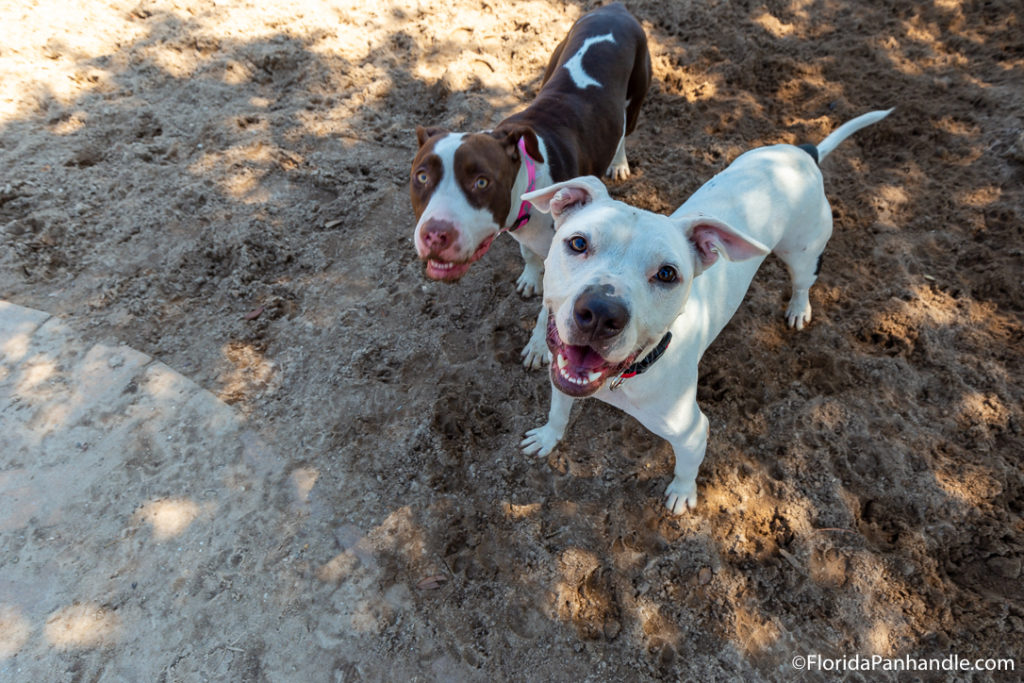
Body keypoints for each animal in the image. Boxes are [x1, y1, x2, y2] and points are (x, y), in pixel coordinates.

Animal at [407, 2, 647, 368]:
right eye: (422, 176)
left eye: (481, 181)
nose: (435, 234)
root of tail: (614, 9)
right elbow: (529, 257)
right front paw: (530, 277)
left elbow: (551, 312)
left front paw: (537, 347)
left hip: (635, 97)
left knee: (624, 131)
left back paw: (618, 163)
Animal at [520, 108, 888, 511]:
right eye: (578, 243)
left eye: (667, 274)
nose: (601, 313)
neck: (627, 376)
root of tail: (805, 154)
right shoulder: (562, 374)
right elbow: (558, 410)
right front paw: (548, 437)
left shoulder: (693, 433)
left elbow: (686, 467)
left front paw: (682, 496)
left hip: (803, 253)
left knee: (804, 281)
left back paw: (798, 309)